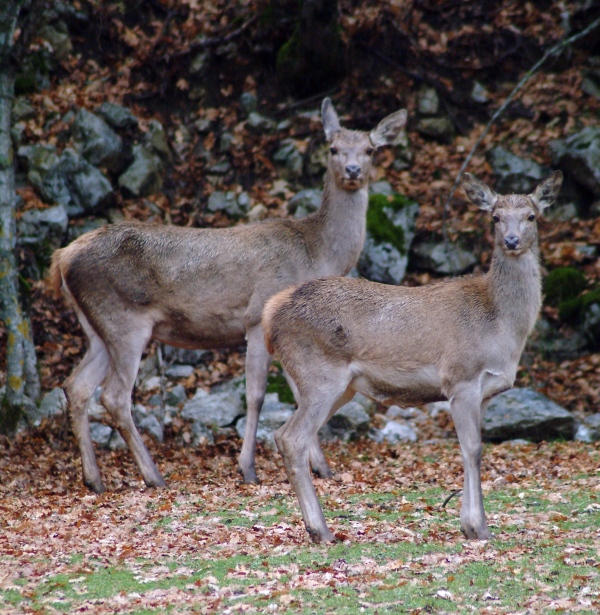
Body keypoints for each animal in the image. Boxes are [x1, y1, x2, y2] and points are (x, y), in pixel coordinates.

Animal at [48, 100, 408, 496]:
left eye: (370, 150)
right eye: (332, 148)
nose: (353, 170)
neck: (316, 253)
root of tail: (63, 257)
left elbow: (298, 394)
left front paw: (322, 468)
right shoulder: (256, 319)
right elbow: (257, 396)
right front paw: (248, 468)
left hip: (96, 327)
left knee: (77, 386)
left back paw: (94, 479)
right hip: (124, 321)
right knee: (113, 395)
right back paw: (153, 475)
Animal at [262, 171, 564, 540]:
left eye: (531, 216)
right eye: (495, 217)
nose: (511, 240)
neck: (501, 327)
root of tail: (271, 314)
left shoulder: (486, 392)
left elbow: (471, 448)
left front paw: (471, 525)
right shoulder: (460, 377)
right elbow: (473, 449)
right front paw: (478, 527)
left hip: (337, 387)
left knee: (283, 434)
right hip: (320, 375)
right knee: (294, 439)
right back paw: (321, 529)